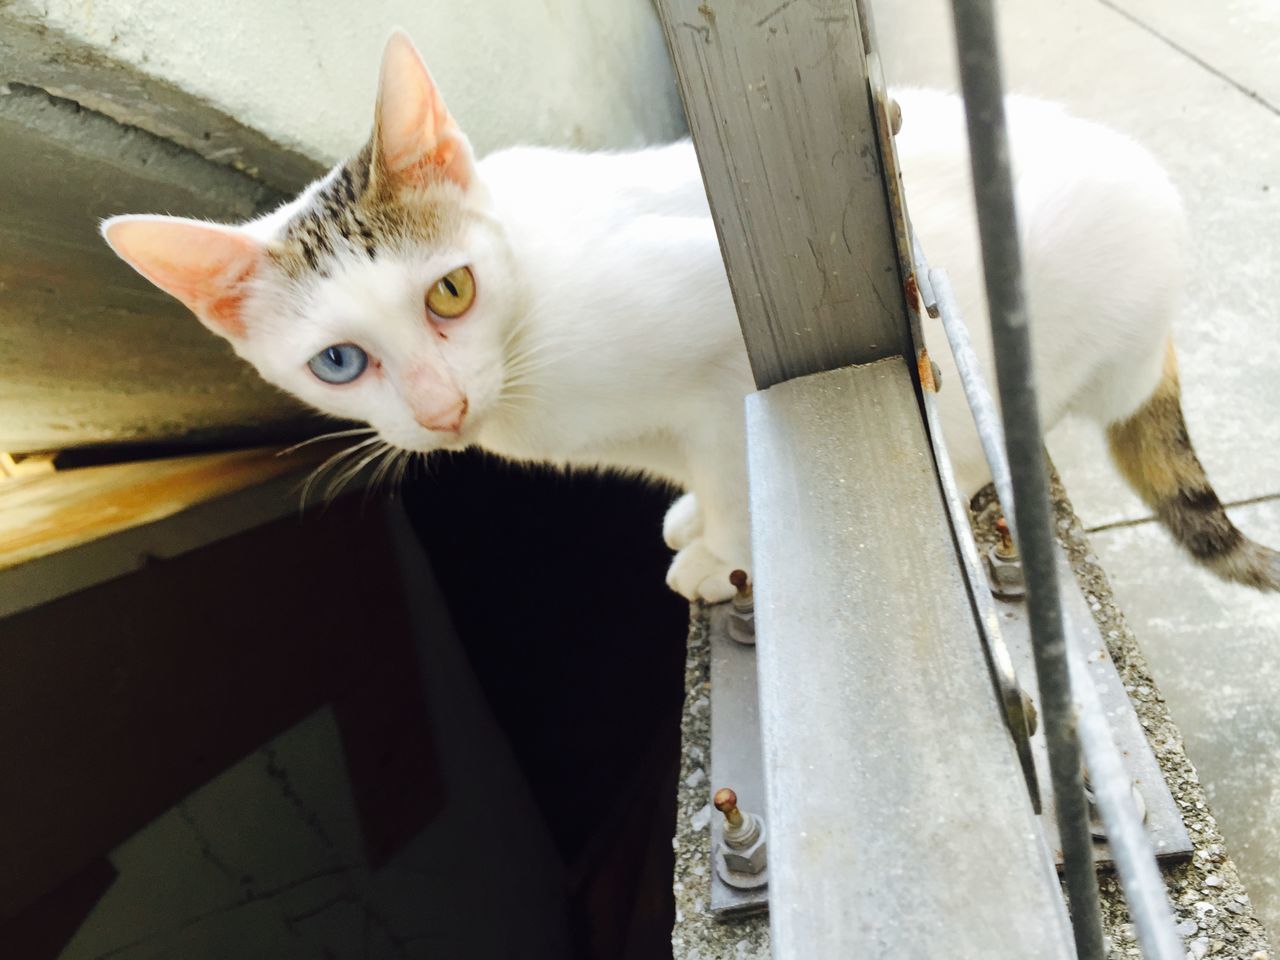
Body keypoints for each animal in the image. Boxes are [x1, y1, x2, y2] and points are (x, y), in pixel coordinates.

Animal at [104, 30, 1274, 601]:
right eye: (339, 362)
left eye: (449, 291)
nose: (437, 411)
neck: (531, 345)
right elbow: (697, 477)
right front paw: (695, 524)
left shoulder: (735, 358)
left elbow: (739, 466)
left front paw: (724, 554)